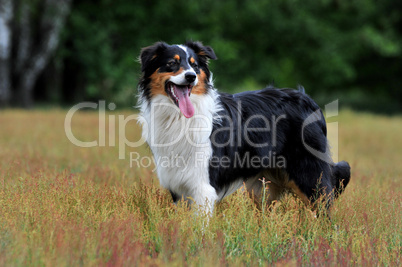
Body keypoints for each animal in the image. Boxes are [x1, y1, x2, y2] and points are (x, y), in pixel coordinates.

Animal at [137, 42, 350, 217]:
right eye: (171, 63)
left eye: (195, 65)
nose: (191, 77)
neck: (178, 117)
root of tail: (308, 100)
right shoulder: (177, 184)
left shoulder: (203, 185)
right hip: (262, 187)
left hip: (309, 175)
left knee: (323, 211)